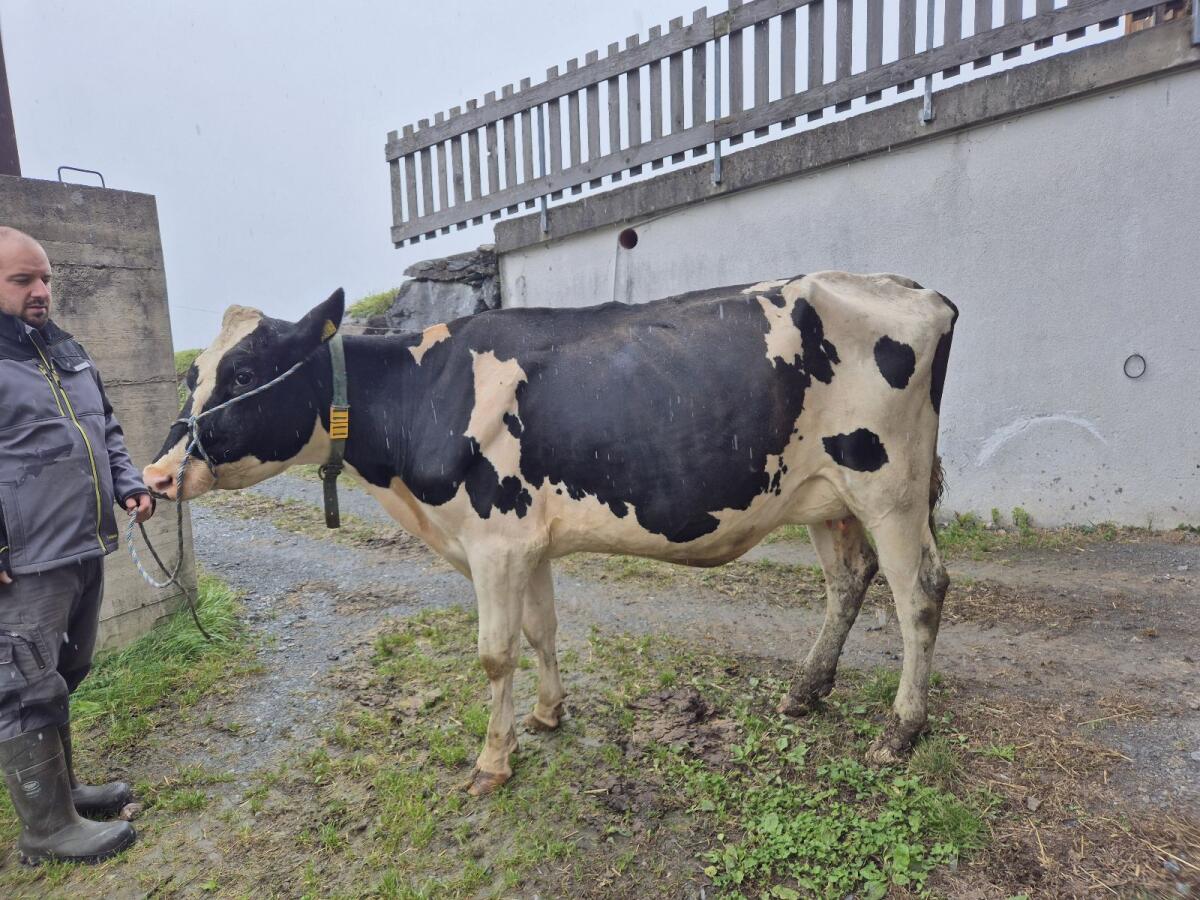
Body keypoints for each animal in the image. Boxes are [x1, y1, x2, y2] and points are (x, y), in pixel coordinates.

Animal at [144, 271, 957, 795]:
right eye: (191, 375)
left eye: (243, 373)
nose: (155, 476)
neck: (421, 394)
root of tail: (912, 288)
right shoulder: (524, 542)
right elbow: (541, 631)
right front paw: (547, 713)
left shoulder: (494, 544)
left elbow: (494, 653)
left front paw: (491, 761)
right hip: (826, 497)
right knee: (848, 582)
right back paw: (805, 691)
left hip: (890, 487)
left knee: (919, 592)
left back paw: (900, 730)